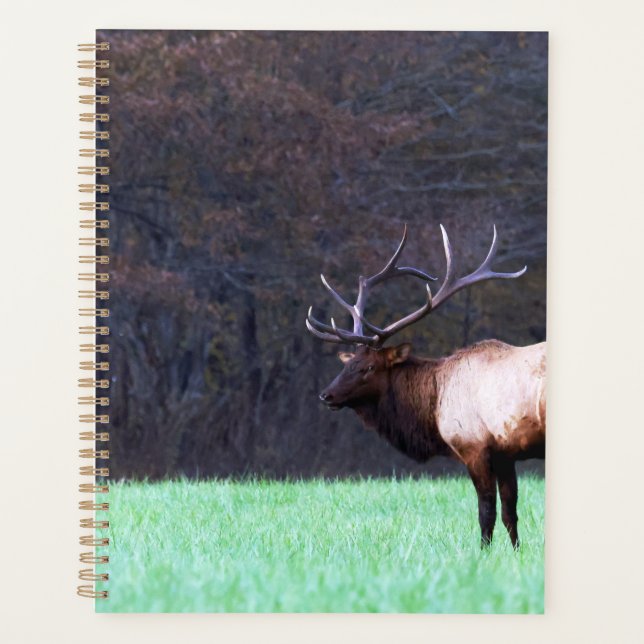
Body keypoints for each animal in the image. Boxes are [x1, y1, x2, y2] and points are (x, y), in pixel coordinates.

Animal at [306, 225, 546, 548]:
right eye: (348, 363)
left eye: (368, 367)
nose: (326, 395)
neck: (433, 404)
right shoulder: (505, 453)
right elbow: (511, 513)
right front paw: (516, 553)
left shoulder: (474, 446)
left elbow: (486, 513)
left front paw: (483, 554)